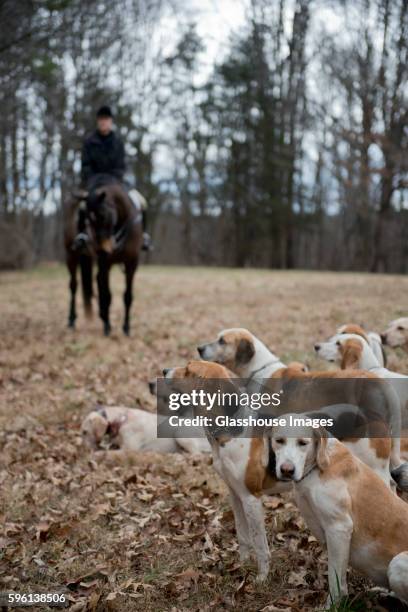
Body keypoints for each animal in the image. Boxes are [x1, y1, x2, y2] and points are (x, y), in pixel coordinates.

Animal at [64, 183, 144, 334]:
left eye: (104, 216)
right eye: (87, 219)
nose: (104, 249)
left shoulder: (132, 263)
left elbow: (127, 296)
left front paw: (126, 327)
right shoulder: (105, 262)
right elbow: (107, 294)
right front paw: (107, 325)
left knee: (97, 280)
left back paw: (102, 314)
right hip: (71, 256)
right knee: (74, 286)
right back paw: (72, 319)